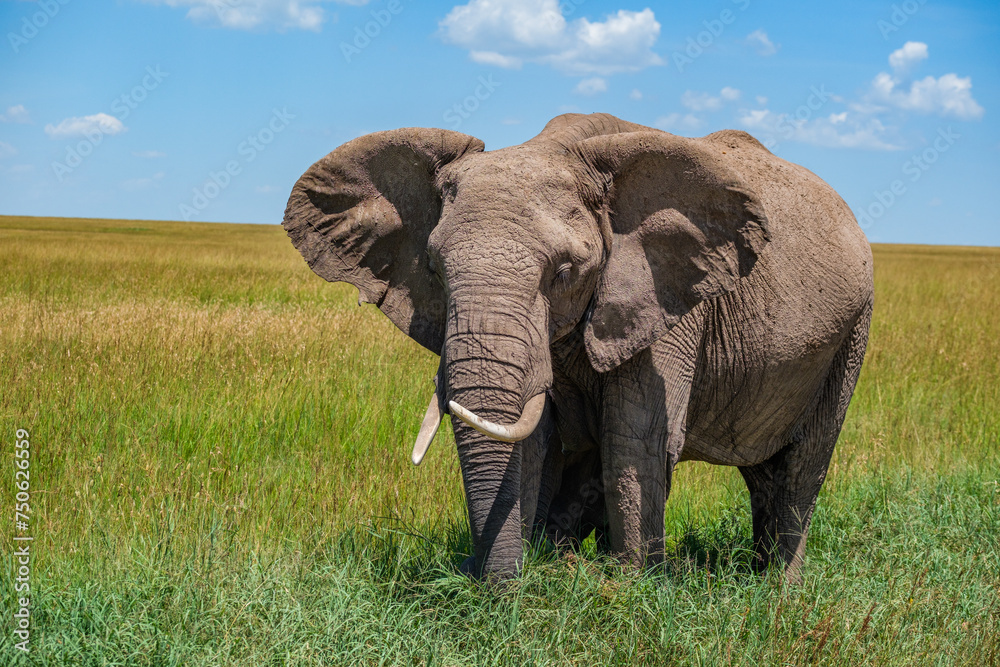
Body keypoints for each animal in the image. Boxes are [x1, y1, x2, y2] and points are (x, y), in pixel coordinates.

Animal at [282, 113, 873, 584]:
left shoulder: (667, 303)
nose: (483, 581)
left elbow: (634, 441)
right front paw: (527, 570)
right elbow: (535, 440)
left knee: (802, 467)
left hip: (851, 333)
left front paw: (630, 589)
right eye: (433, 269)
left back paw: (778, 589)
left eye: (564, 271)